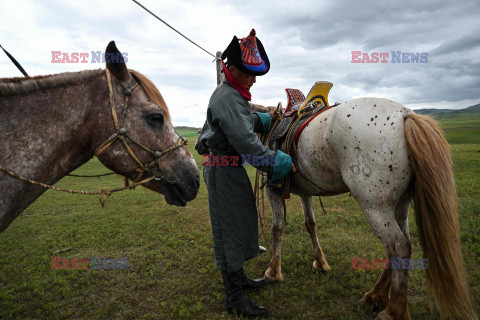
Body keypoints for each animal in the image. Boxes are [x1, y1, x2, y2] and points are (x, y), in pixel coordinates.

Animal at [264, 97, 478, 320]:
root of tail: (405, 114)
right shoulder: (306, 192)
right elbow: (310, 224)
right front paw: (320, 262)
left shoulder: (272, 190)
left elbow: (277, 228)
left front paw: (274, 271)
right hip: (400, 203)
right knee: (404, 243)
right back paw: (375, 296)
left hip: (375, 208)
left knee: (398, 247)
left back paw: (393, 311)